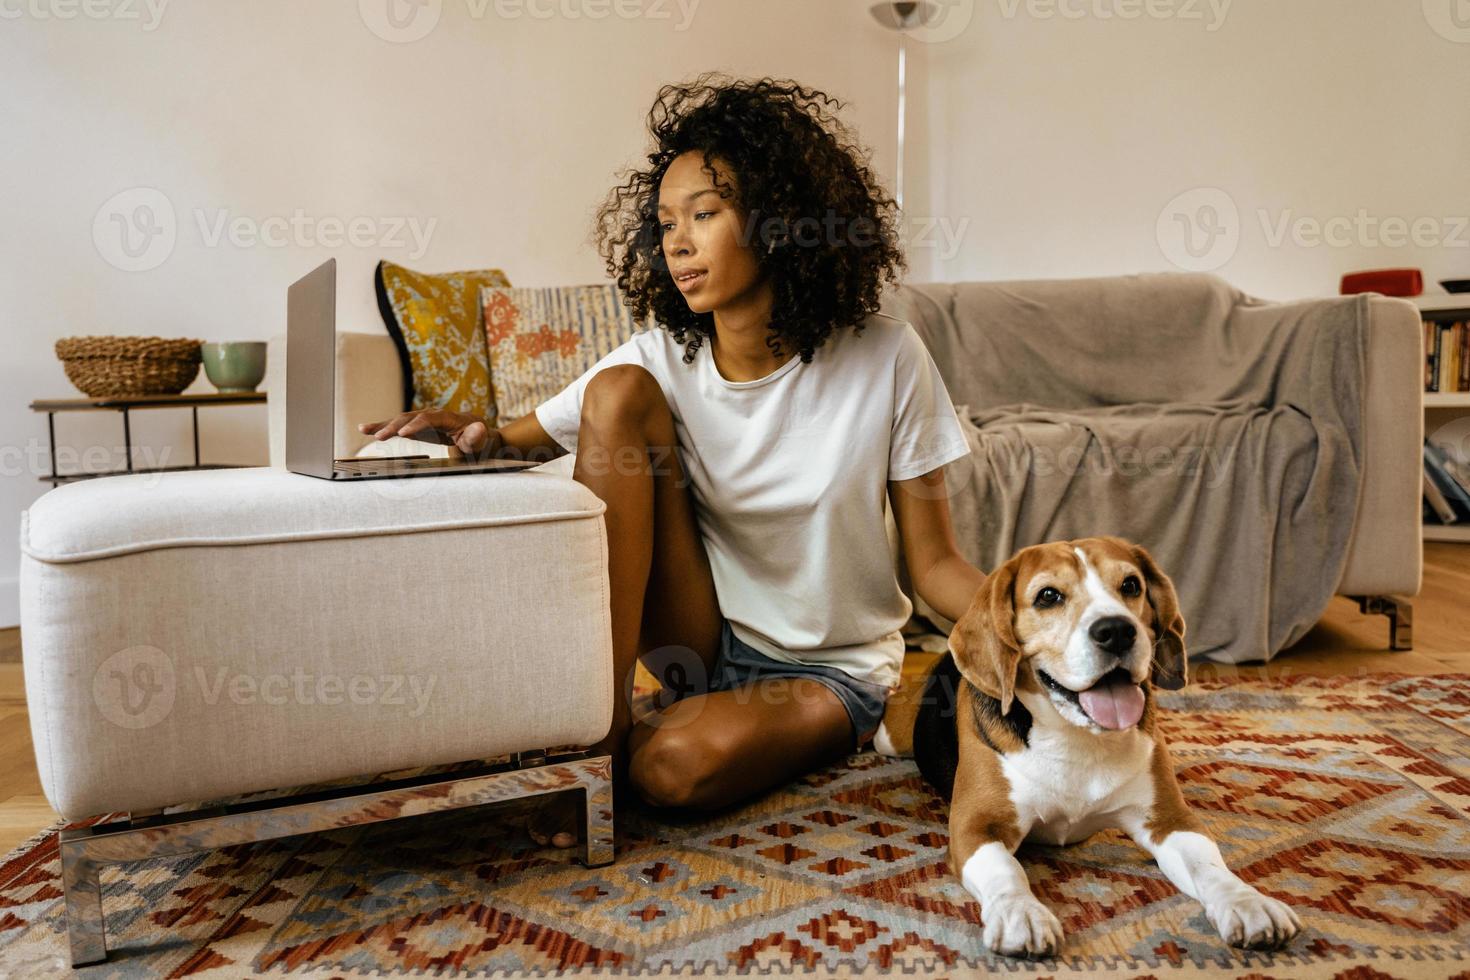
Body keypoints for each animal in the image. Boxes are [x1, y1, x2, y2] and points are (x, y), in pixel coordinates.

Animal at [870, 537, 1299, 957]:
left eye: (1131, 585)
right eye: (1048, 596)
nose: (1117, 631)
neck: (1077, 735)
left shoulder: (1169, 820)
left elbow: (1209, 866)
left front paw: (1247, 902)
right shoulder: (975, 827)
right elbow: (1007, 871)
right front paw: (1020, 913)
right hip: (888, 738)